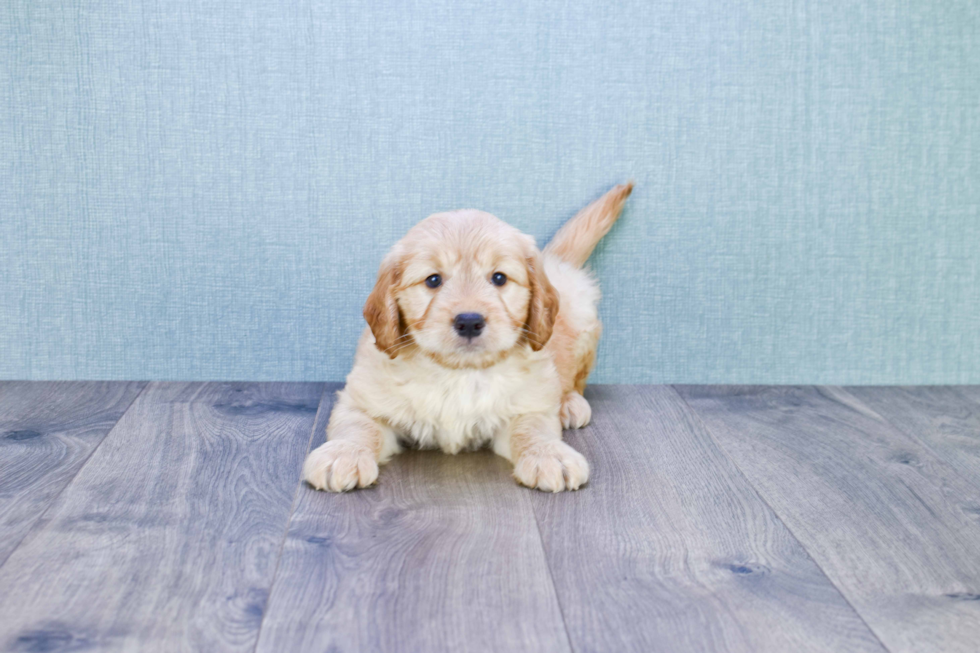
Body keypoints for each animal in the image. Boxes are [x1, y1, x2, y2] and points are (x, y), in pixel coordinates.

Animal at [302, 181, 632, 492]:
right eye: (433, 280)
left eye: (499, 278)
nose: (470, 322)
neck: (458, 372)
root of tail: (553, 261)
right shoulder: (362, 400)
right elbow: (358, 426)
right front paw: (343, 454)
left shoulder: (527, 405)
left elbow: (533, 429)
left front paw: (550, 454)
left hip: (583, 324)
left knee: (576, 380)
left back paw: (570, 404)